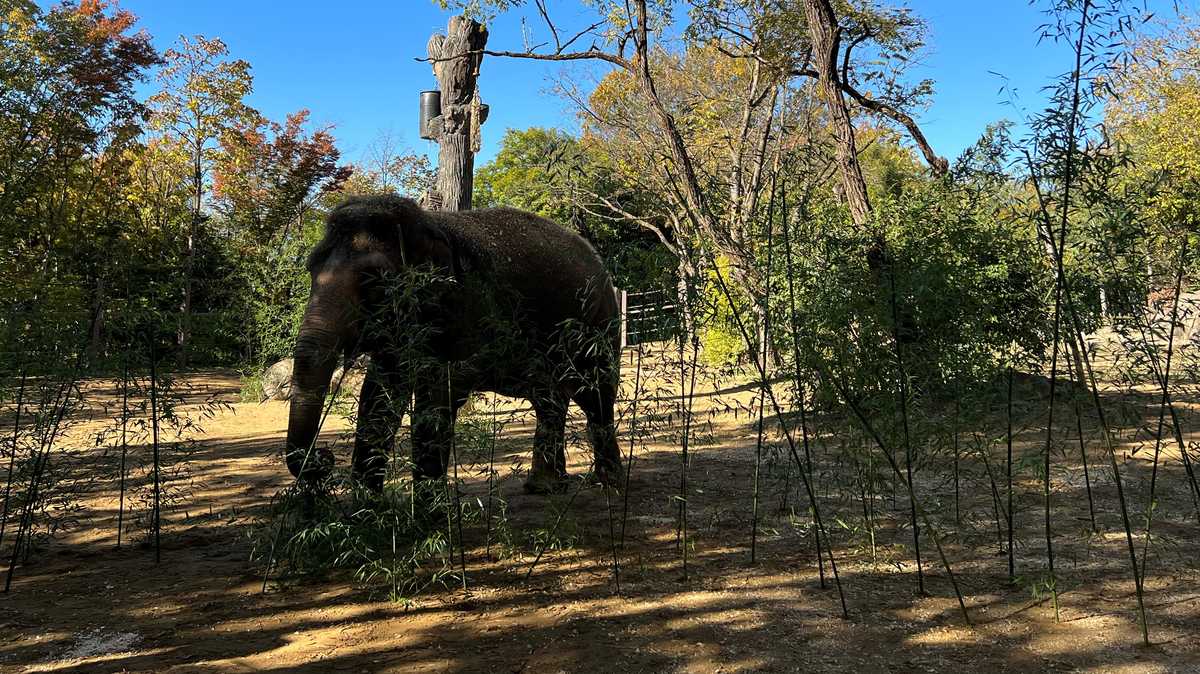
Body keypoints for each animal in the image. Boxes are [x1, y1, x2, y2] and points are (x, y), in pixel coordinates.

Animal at [283, 194, 624, 495]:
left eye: (372, 280)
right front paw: (368, 510)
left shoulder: (465, 310)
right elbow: (378, 398)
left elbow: (438, 397)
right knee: (549, 399)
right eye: (311, 269)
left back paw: (608, 482)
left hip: (599, 322)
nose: (324, 457)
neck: (429, 224)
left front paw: (428, 513)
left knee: (596, 393)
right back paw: (544, 487)